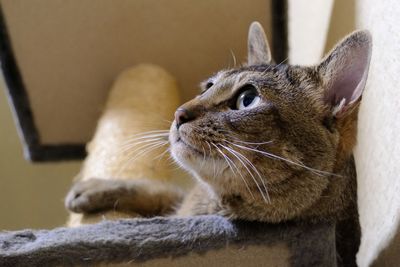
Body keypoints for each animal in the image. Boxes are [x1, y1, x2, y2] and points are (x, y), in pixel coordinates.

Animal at [66, 22, 372, 266]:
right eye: (209, 86)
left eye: (247, 99)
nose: (178, 113)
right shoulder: (179, 199)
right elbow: (157, 190)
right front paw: (93, 188)